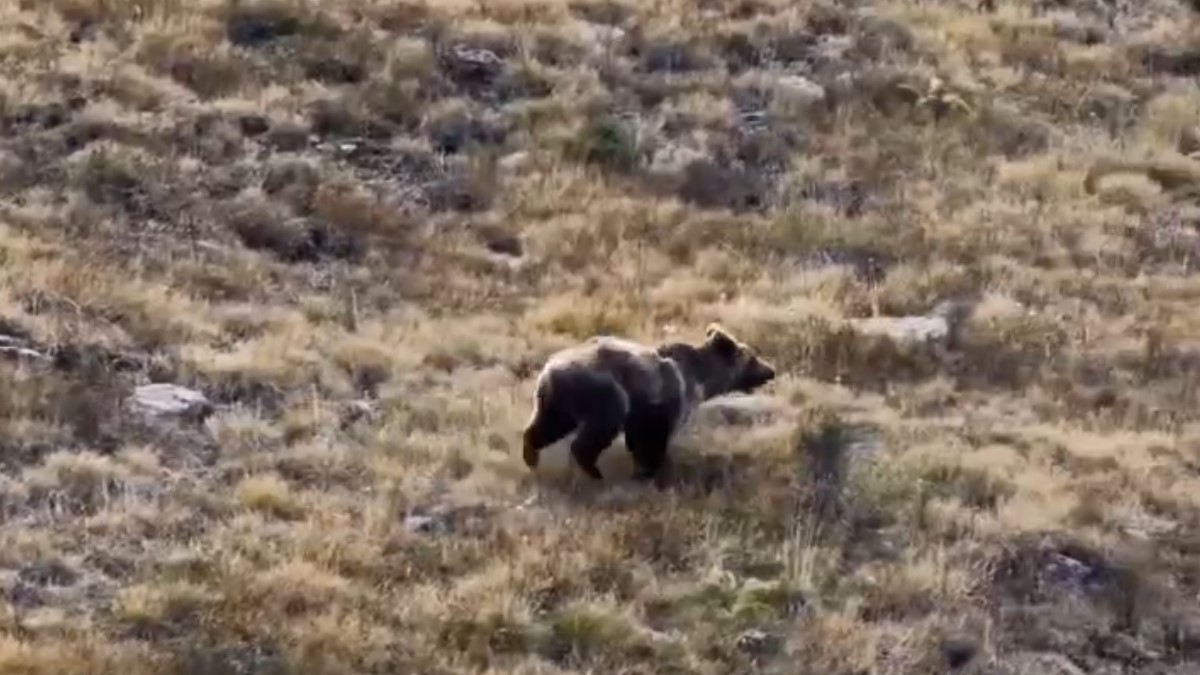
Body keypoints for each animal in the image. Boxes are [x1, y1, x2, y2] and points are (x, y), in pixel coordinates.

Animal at [520, 323, 777, 487]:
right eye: (752, 357)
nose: (771, 370)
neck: (701, 379)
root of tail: (551, 371)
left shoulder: (643, 414)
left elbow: (638, 440)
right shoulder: (665, 405)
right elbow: (654, 440)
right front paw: (651, 473)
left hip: (556, 403)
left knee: (544, 428)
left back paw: (531, 457)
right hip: (604, 392)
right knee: (596, 431)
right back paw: (594, 472)